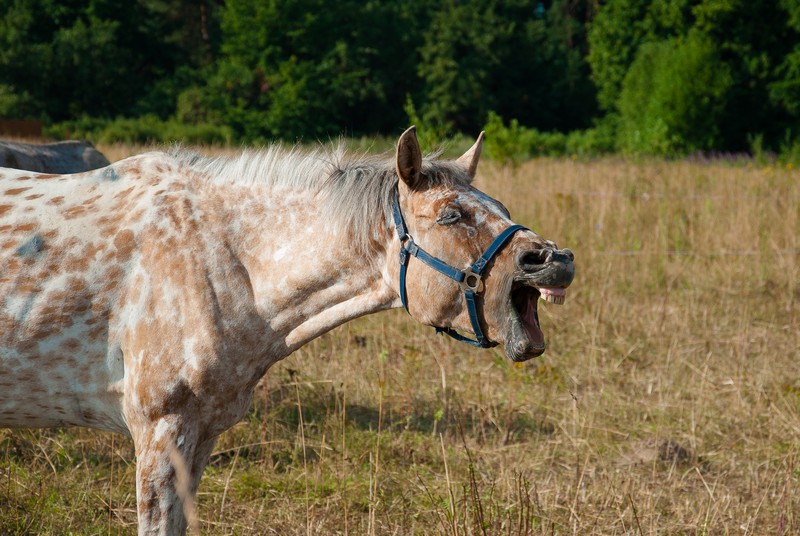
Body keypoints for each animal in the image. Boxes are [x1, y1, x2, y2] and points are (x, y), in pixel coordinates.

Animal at [0, 125, 576, 532]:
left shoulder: (199, 435)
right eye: (452, 215)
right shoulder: (160, 432)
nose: (554, 260)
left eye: (500, 208)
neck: (221, 259)